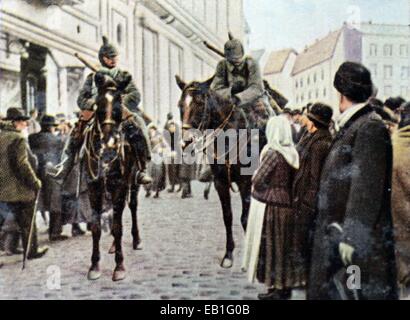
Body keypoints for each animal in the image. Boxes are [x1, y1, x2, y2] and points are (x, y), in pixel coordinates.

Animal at [82, 71, 142, 282]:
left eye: (118, 105)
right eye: (98, 105)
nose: (108, 144)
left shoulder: (120, 186)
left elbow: (117, 227)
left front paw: (119, 267)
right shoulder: (94, 188)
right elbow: (96, 227)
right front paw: (94, 266)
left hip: (133, 182)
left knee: (131, 207)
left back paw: (136, 240)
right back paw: (115, 245)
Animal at [175, 75, 264, 268]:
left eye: (200, 103)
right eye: (180, 104)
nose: (187, 142)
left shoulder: (245, 182)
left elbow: (245, 218)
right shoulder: (220, 183)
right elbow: (228, 217)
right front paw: (228, 255)